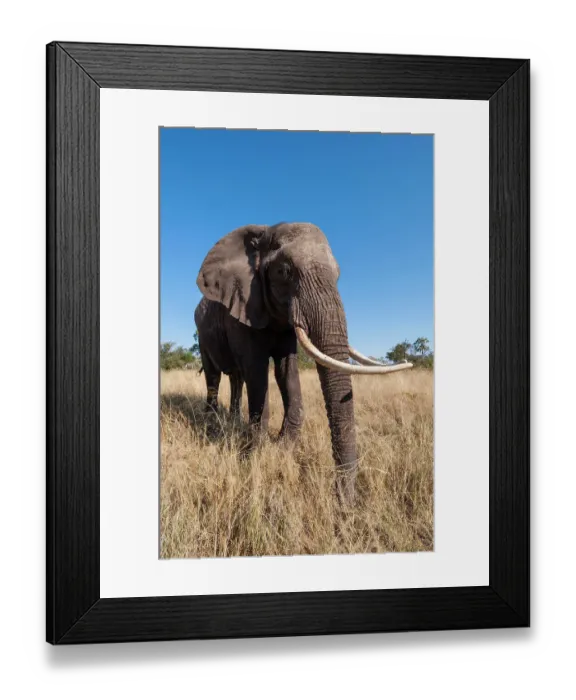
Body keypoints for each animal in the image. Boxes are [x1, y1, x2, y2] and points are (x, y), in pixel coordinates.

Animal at [194, 222, 413, 503]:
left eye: (338, 275)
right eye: (283, 271)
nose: (345, 502)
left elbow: (287, 372)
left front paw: (282, 449)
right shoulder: (243, 309)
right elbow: (257, 371)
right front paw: (256, 454)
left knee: (236, 378)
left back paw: (232, 421)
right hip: (202, 333)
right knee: (214, 375)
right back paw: (211, 423)